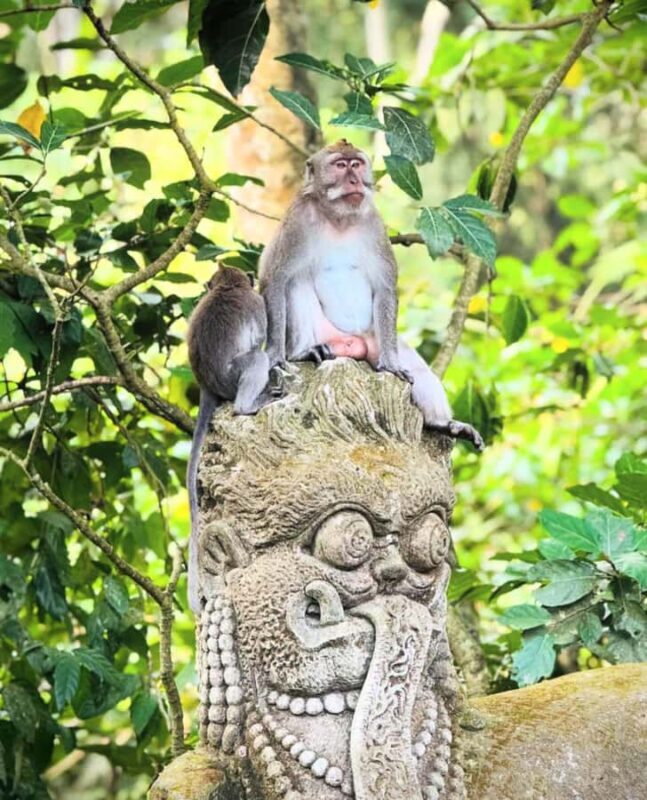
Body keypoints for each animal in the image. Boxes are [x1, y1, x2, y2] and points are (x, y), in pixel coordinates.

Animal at [186, 266, 275, 612]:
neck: (226, 288)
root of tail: (207, 385)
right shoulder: (256, 304)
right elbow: (263, 340)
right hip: (233, 375)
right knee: (256, 361)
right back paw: (247, 406)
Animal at [258, 139, 484, 449]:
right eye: (340, 165)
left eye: (357, 164)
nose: (354, 180)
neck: (339, 218)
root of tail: (353, 344)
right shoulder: (297, 221)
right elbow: (275, 278)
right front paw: (274, 356)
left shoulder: (375, 225)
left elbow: (385, 286)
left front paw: (391, 364)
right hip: (326, 335)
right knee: (296, 282)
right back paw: (305, 350)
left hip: (375, 337)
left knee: (418, 372)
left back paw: (442, 424)